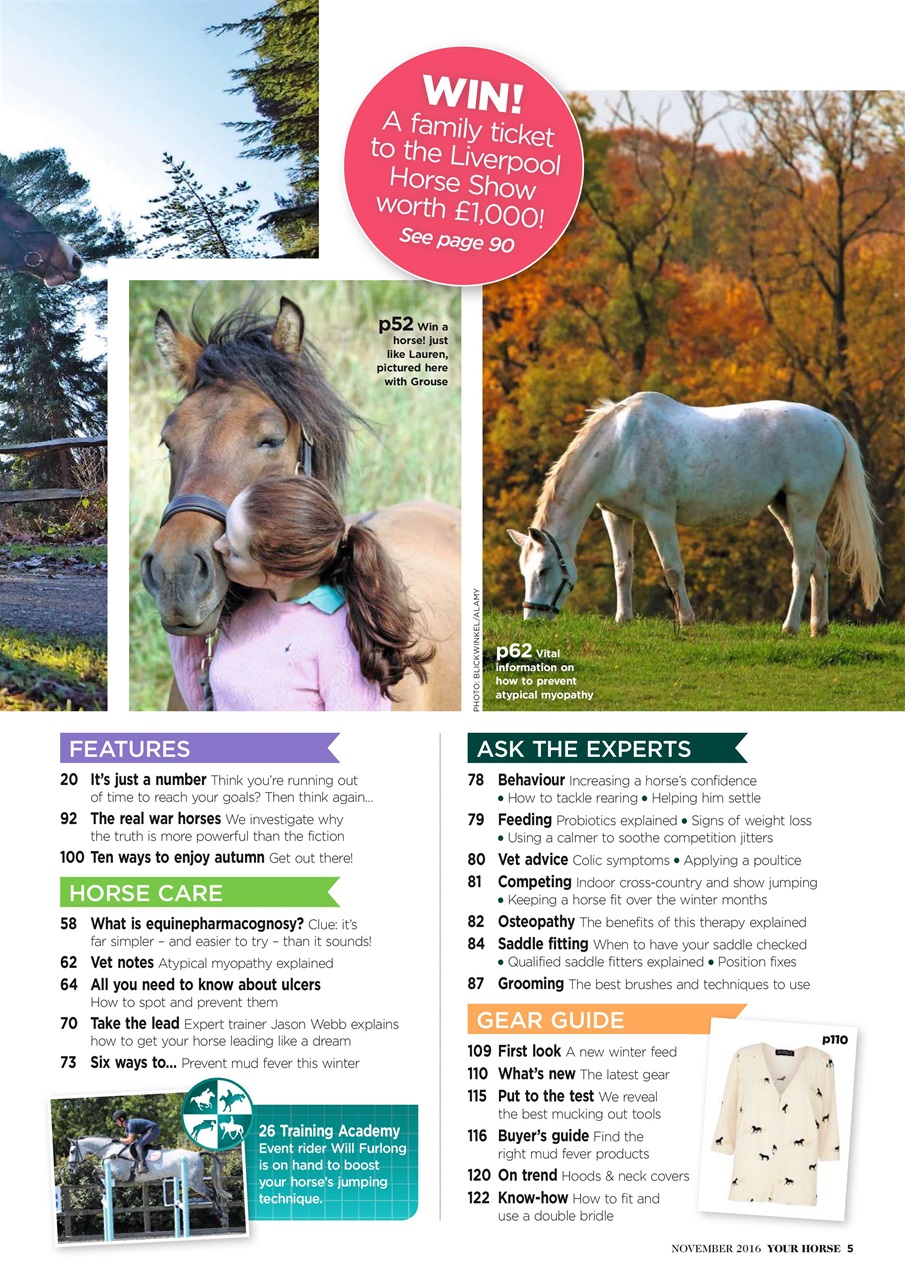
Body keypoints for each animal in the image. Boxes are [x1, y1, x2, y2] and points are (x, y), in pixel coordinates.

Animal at [66, 1135, 229, 1226]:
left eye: (72, 1151)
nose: (70, 1169)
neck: (110, 1151)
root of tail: (197, 1154)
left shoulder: (118, 1174)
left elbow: (94, 1172)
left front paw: (102, 1187)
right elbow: (96, 1173)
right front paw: (103, 1187)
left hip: (194, 1182)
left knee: (211, 1193)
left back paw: (222, 1218)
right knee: (211, 1194)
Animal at [508, 392, 881, 636]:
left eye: (543, 570)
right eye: (524, 571)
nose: (532, 621)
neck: (620, 445)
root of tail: (829, 421)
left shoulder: (658, 517)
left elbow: (672, 571)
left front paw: (687, 621)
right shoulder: (616, 516)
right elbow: (622, 569)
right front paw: (623, 619)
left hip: (802, 509)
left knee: (802, 566)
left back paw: (789, 627)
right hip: (784, 509)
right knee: (820, 560)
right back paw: (819, 627)